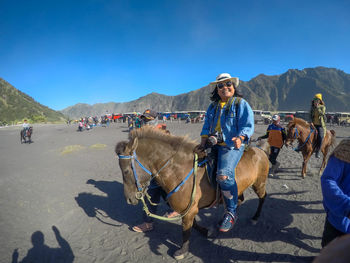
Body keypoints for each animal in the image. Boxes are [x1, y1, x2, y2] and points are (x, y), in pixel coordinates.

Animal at [116, 127, 270, 260]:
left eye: (126, 171)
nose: (129, 199)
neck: (178, 171)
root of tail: (260, 150)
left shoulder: (189, 211)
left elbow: (186, 230)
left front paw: (182, 251)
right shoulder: (189, 209)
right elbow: (193, 225)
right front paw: (206, 231)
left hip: (259, 183)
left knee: (263, 198)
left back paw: (255, 217)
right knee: (238, 200)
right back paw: (226, 220)